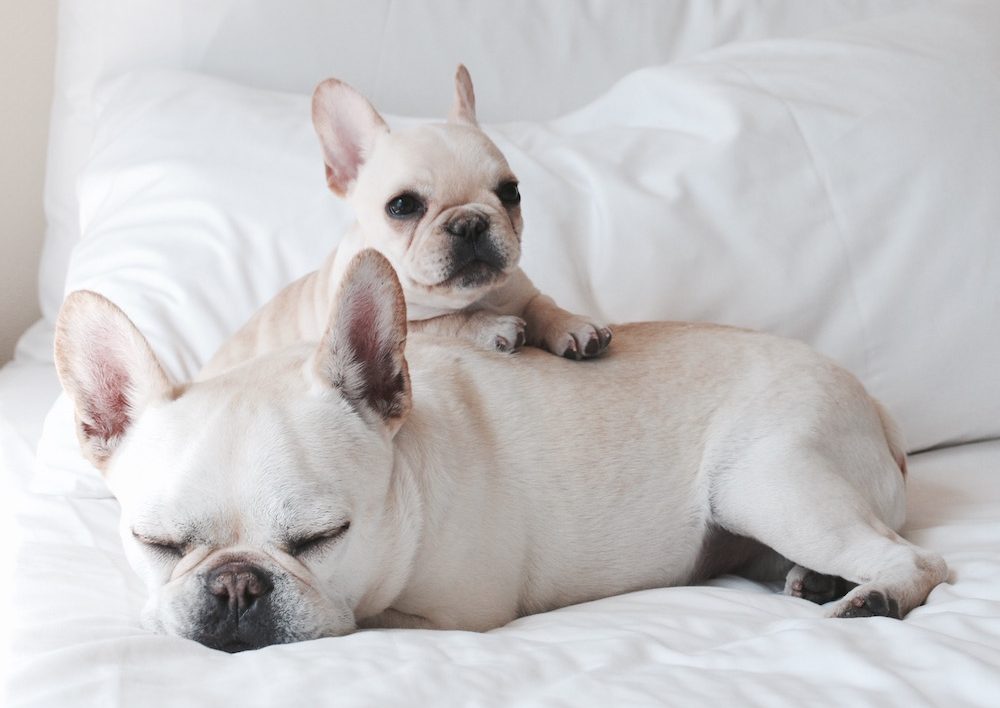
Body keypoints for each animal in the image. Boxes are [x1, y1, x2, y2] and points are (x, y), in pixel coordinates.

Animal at [52, 250, 944, 652]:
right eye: (158, 544)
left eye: (320, 538)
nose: (236, 585)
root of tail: (874, 409)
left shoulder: (450, 616)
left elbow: (369, 620)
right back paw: (814, 579)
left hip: (767, 481)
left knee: (918, 560)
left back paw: (873, 596)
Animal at [201, 66, 608, 378]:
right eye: (402, 206)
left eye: (511, 192)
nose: (470, 223)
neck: (469, 297)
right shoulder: (407, 329)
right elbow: (443, 323)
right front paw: (491, 325)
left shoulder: (522, 291)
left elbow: (542, 304)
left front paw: (574, 324)